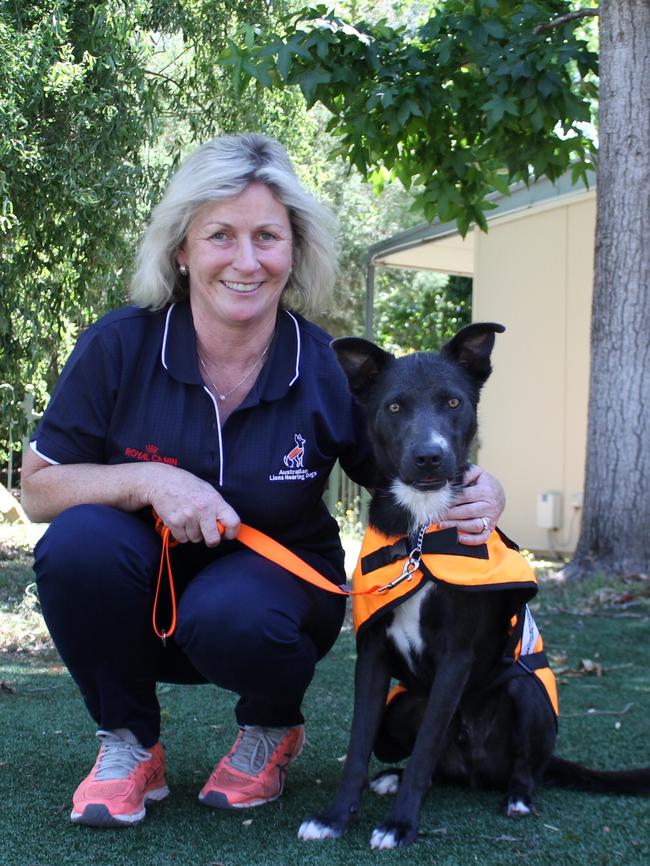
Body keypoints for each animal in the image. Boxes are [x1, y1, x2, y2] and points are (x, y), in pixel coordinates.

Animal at [298, 324, 648, 852]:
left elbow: (425, 749)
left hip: (525, 694)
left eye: (453, 401)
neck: (423, 530)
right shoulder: (373, 652)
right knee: (429, 762)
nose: (429, 457)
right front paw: (335, 817)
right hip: (402, 708)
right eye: (394, 407)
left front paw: (400, 825)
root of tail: (476, 769)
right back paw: (393, 777)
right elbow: (359, 746)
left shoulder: (456, 656)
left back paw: (518, 798)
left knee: (523, 768)